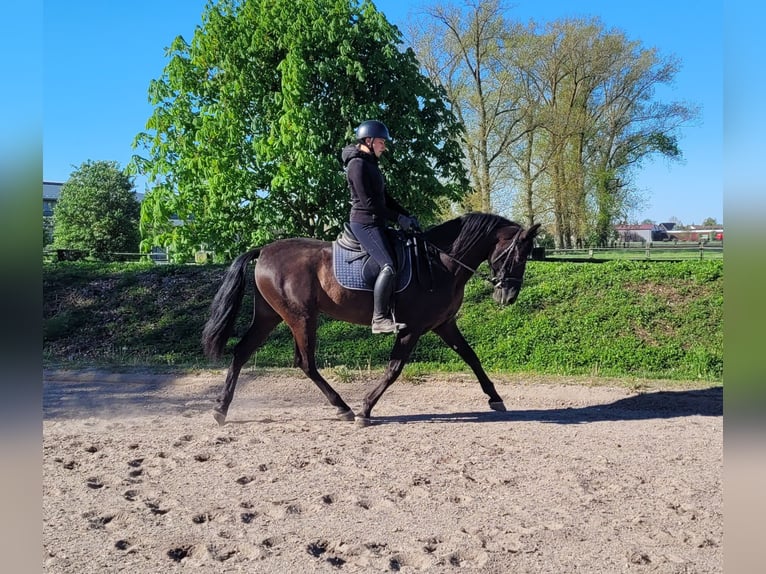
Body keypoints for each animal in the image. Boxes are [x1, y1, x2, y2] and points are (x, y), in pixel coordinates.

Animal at [202, 212, 541, 426]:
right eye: (517, 255)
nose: (508, 296)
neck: (440, 263)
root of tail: (264, 251)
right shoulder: (412, 328)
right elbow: (393, 369)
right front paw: (365, 409)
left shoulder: (444, 324)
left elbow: (472, 357)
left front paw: (495, 398)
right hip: (301, 317)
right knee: (305, 362)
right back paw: (343, 408)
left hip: (270, 316)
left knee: (242, 352)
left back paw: (220, 409)